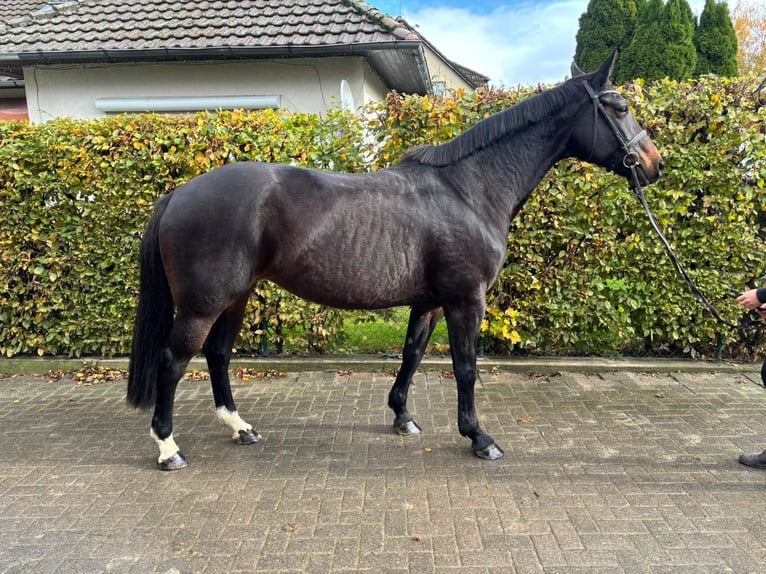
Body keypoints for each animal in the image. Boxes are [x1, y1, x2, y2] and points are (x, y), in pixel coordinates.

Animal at [127, 52, 663, 470]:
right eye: (620, 107)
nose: (654, 164)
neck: (470, 189)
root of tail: (179, 193)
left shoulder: (429, 302)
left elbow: (412, 356)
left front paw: (403, 417)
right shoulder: (465, 301)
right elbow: (465, 367)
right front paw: (479, 437)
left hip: (236, 296)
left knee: (217, 355)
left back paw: (240, 427)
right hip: (203, 304)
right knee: (173, 362)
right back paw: (168, 448)